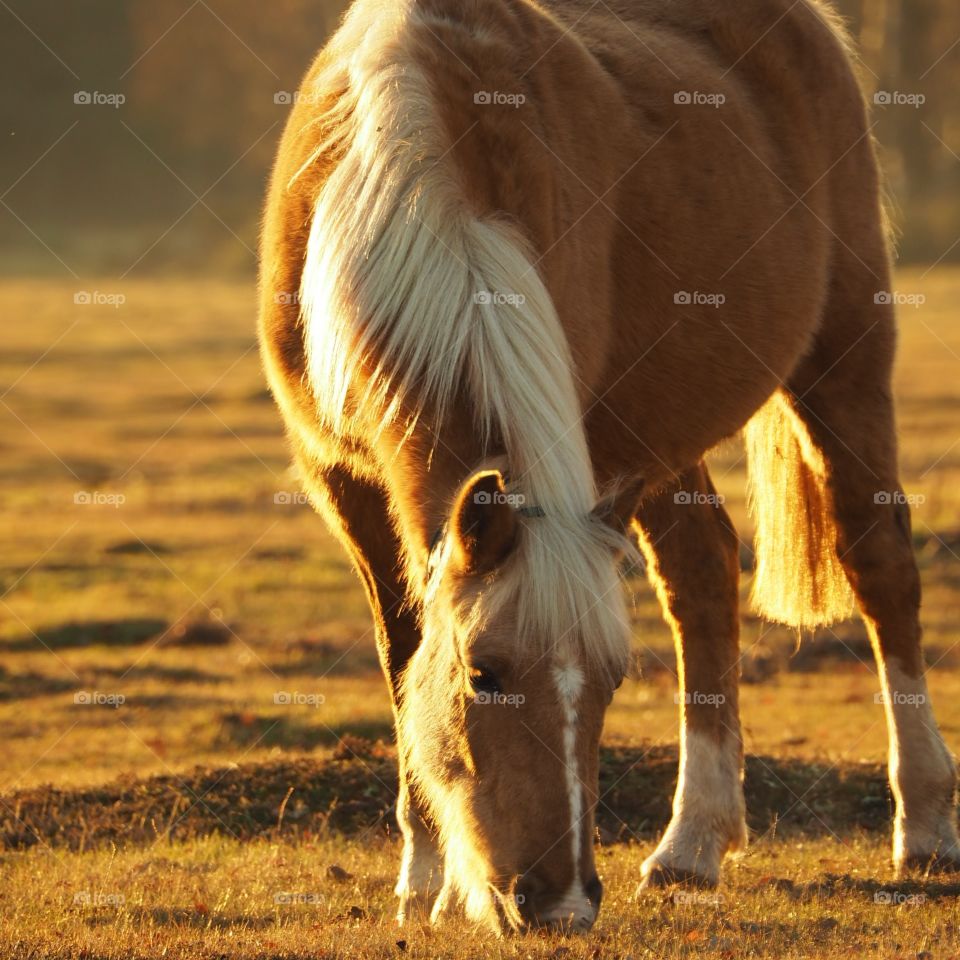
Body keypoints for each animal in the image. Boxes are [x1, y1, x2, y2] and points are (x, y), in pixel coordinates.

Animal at [258, 0, 959, 934]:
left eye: (611, 682)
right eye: (484, 674)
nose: (559, 902)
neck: (400, 173)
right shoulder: (343, 480)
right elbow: (404, 651)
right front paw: (424, 877)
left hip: (843, 354)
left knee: (878, 563)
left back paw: (925, 826)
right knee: (702, 570)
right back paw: (692, 845)